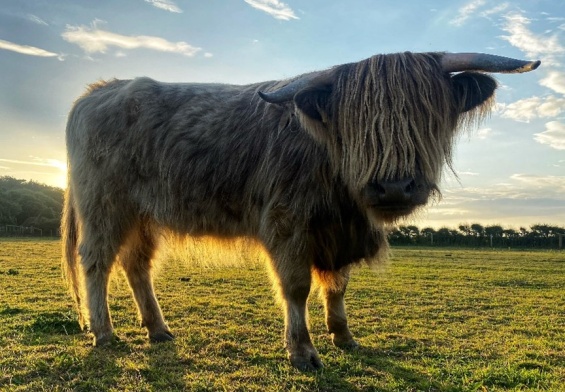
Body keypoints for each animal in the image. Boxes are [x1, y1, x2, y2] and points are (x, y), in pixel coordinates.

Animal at [61, 50, 536, 370]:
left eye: (426, 114)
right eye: (354, 121)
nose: (394, 185)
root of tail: (99, 91)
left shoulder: (340, 233)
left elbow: (338, 286)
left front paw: (344, 336)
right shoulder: (287, 224)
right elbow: (296, 287)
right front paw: (303, 350)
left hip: (142, 215)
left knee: (136, 264)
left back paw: (158, 329)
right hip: (104, 205)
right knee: (96, 262)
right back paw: (104, 333)